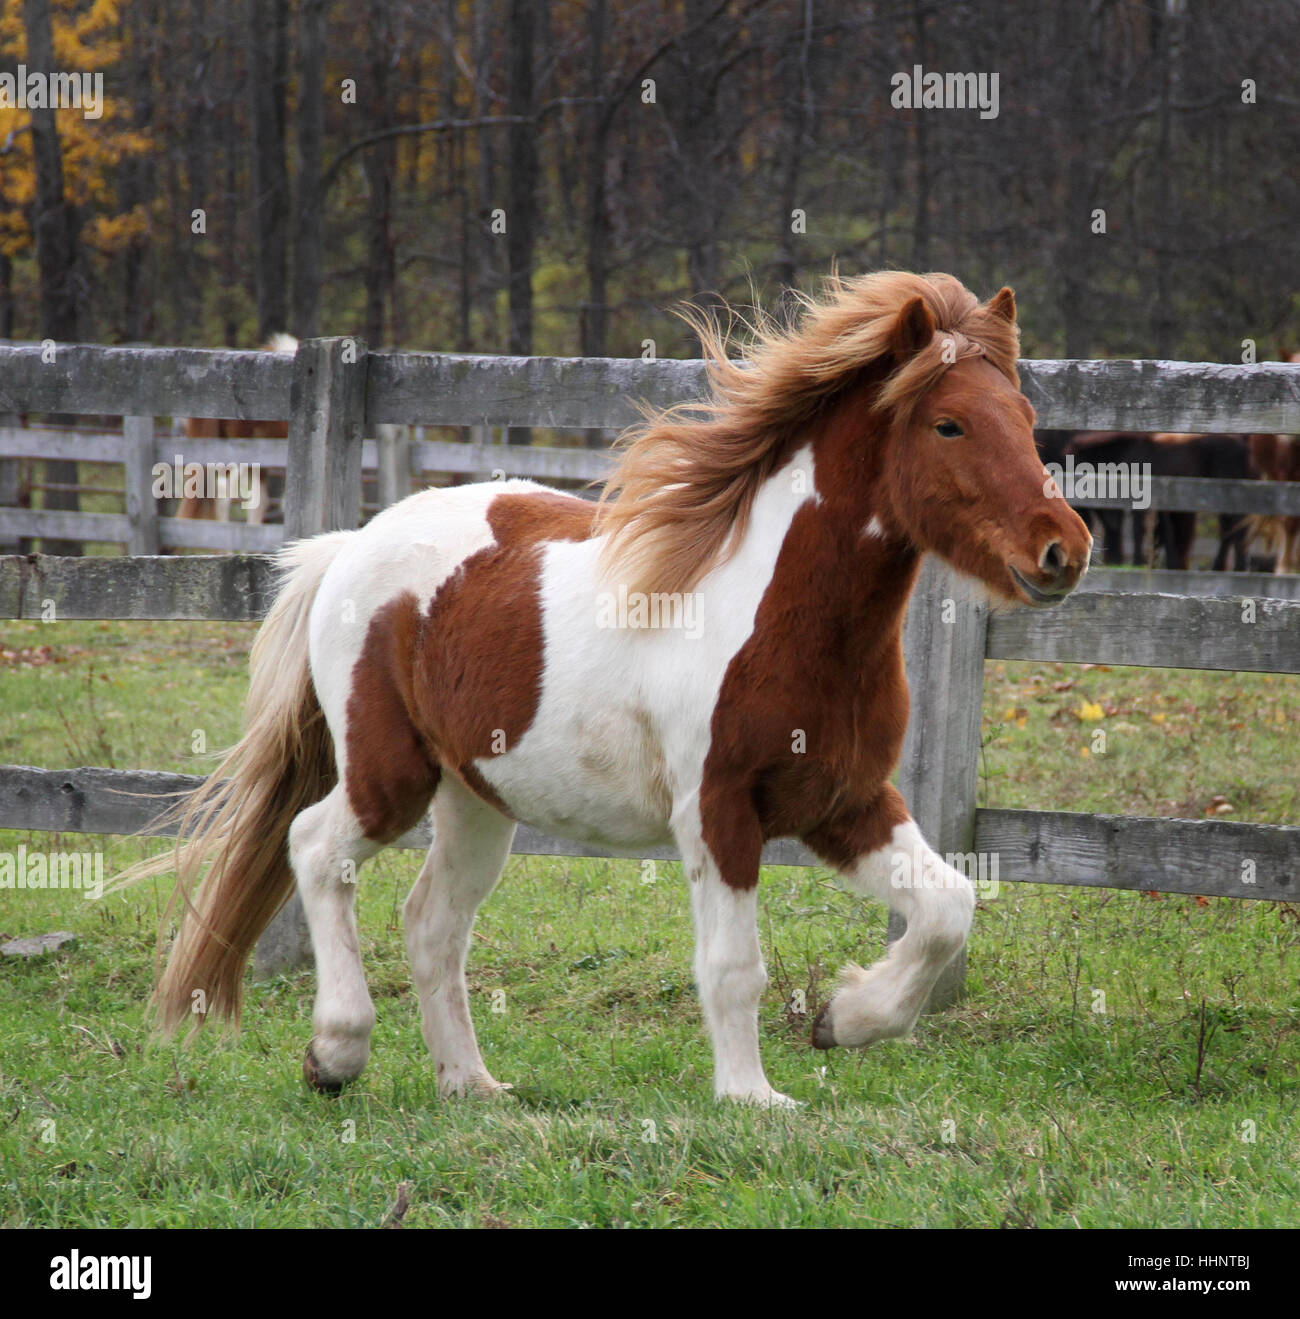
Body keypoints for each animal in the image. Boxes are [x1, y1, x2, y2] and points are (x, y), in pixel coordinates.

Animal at [118, 272, 1092, 1106]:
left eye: (1025, 414)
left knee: (431, 919)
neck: (780, 614)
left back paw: (472, 1083)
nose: (1063, 549)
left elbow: (948, 905)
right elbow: (733, 963)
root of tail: (346, 547)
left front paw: (843, 1018)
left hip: (477, 796)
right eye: (950, 425)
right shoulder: (718, 810)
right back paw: (336, 1052)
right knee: (316, 846)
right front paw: (753, 1097)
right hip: (387, 771)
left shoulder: (844, 801)